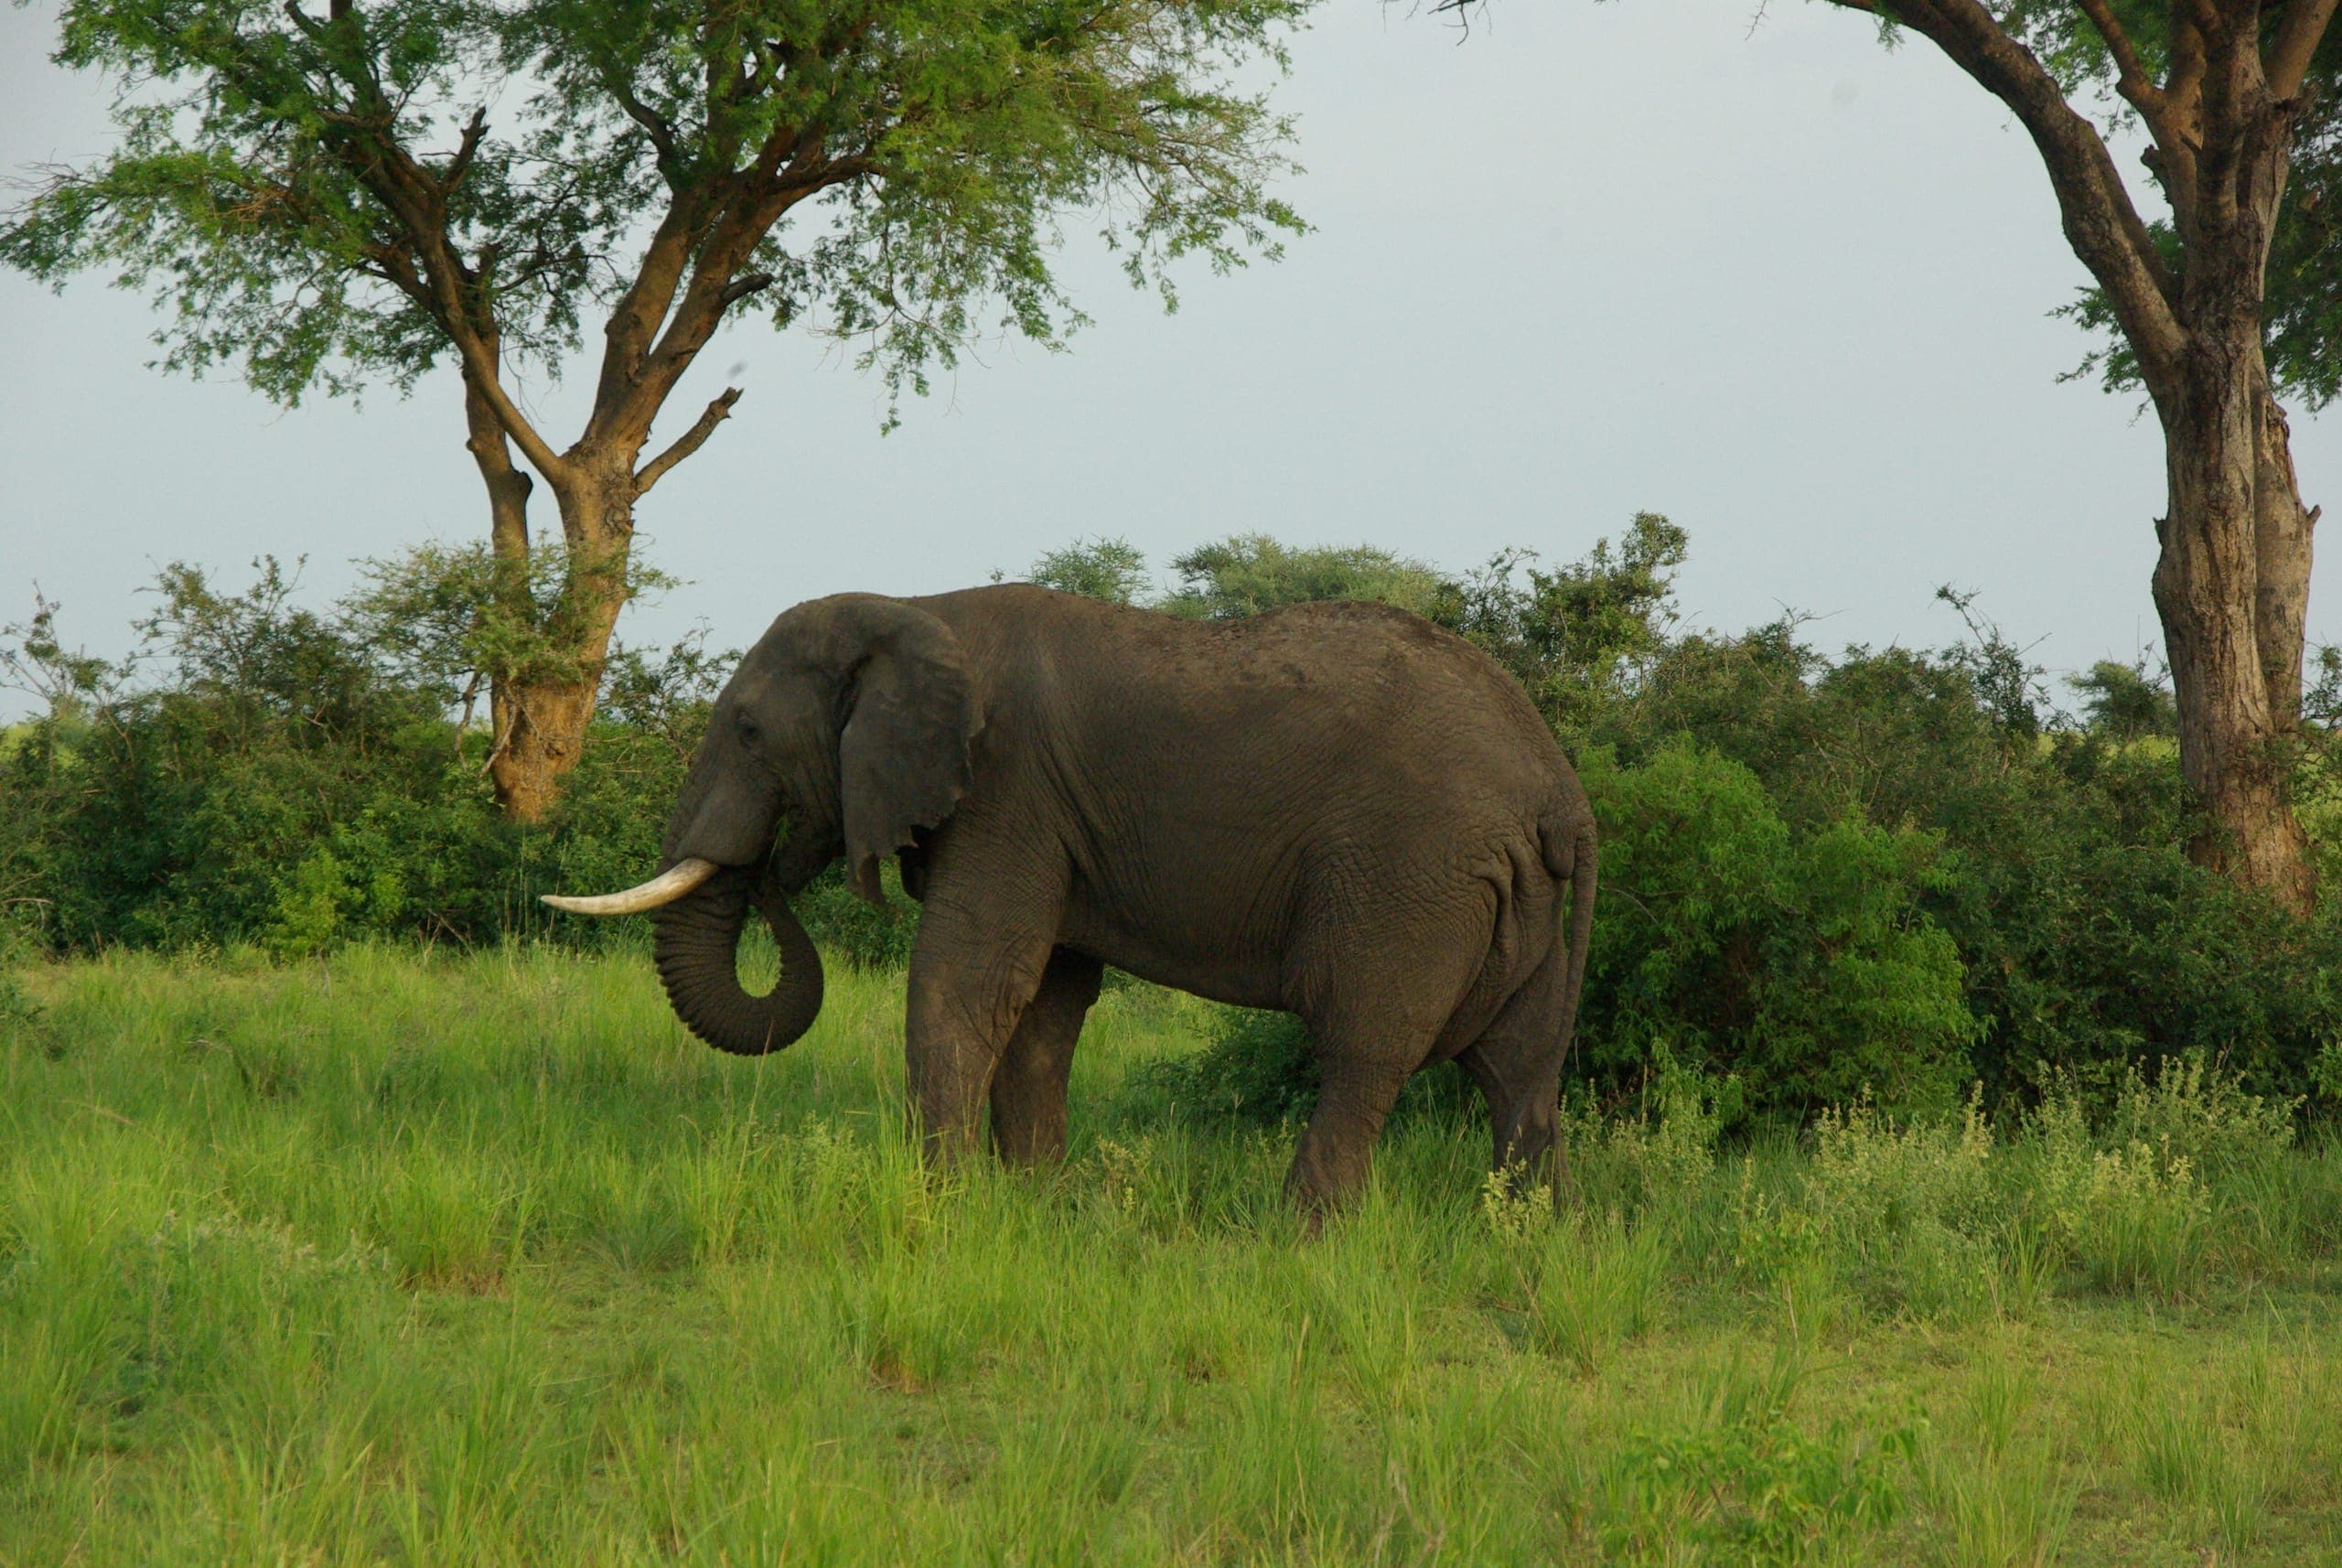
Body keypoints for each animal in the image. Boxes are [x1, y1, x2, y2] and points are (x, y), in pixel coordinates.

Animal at [547, 585, 1598, 1215]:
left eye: (748, 730)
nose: (775, 859)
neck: (915, 610)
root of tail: (1559, 791)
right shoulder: (1044, 816)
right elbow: (1044, 1003)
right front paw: (1035, 1205)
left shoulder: (1007, 791)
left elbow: (969, 978)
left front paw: (943, 1203)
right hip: (1521, 903)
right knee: (1520, 1068)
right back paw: (1526, 1235)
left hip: (1411, 872)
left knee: (1364, 1048)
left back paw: (1298, 1236)